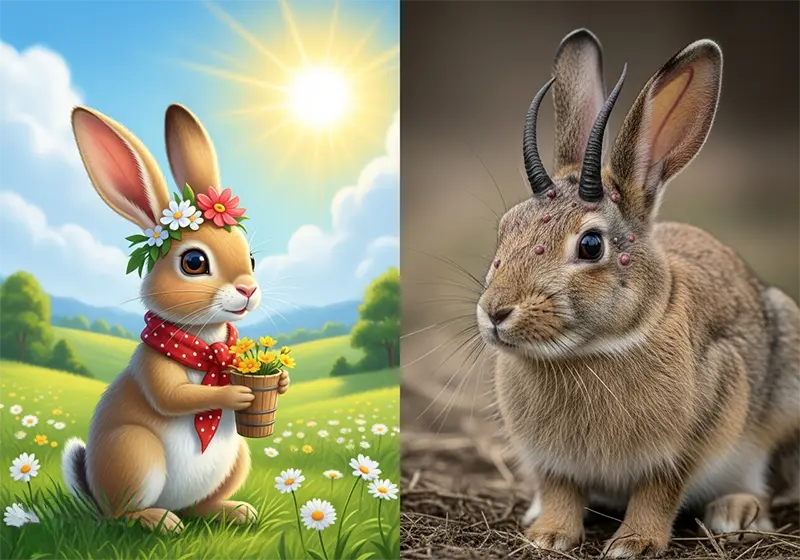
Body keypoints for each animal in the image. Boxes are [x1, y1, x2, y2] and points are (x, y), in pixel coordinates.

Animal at [60, 103, 290, 533]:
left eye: (251, 258)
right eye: (194, 262)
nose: (248, 290)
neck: (204, 341)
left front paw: (280, 381)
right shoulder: (153, 366)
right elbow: (175, 397)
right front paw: (234, 394)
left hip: (237, 459)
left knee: (201, 507)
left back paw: (236, 511)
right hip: (135, 453)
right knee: (121, 516)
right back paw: (160, 521)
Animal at [476, 28, 800, 557]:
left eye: (591, 245)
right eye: (505, 229)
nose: (495, 312)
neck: (591, 351)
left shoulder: (684, 446)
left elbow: (658, 492)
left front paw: (635, 543)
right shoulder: (550, 460)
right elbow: (560, 489)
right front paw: (548, 535)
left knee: (768, 480)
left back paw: (736, 512)